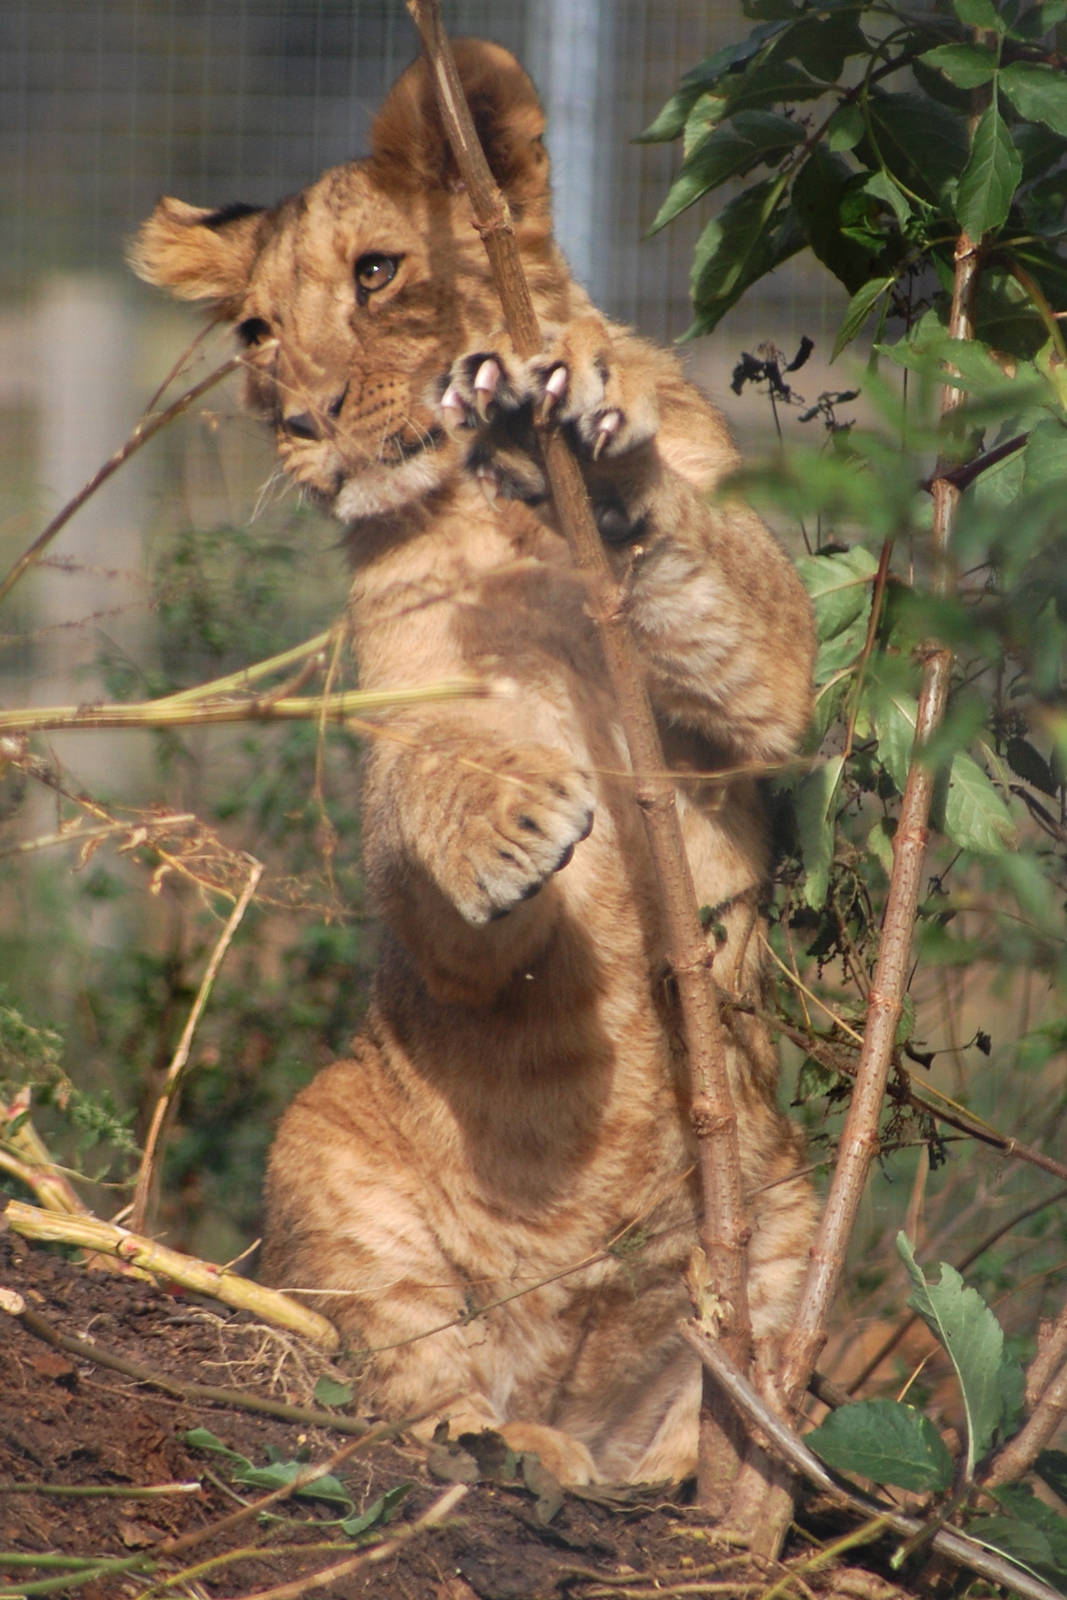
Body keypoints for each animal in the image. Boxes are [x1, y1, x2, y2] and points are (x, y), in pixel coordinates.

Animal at [132, 38, 817, 1486]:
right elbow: (426, 794)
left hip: (781, 1205)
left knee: (720, 1413)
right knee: (411, 1374)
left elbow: (734, 600)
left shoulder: (768, 690)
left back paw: (680, 1475)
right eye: (252, 333)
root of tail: (568, 1384)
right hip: (329, 1143)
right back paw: (495, 1445)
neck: (501, 528)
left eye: (378, 273)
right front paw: (507, 822)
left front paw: (590, 444)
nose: (299, 419)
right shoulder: (411, 721)